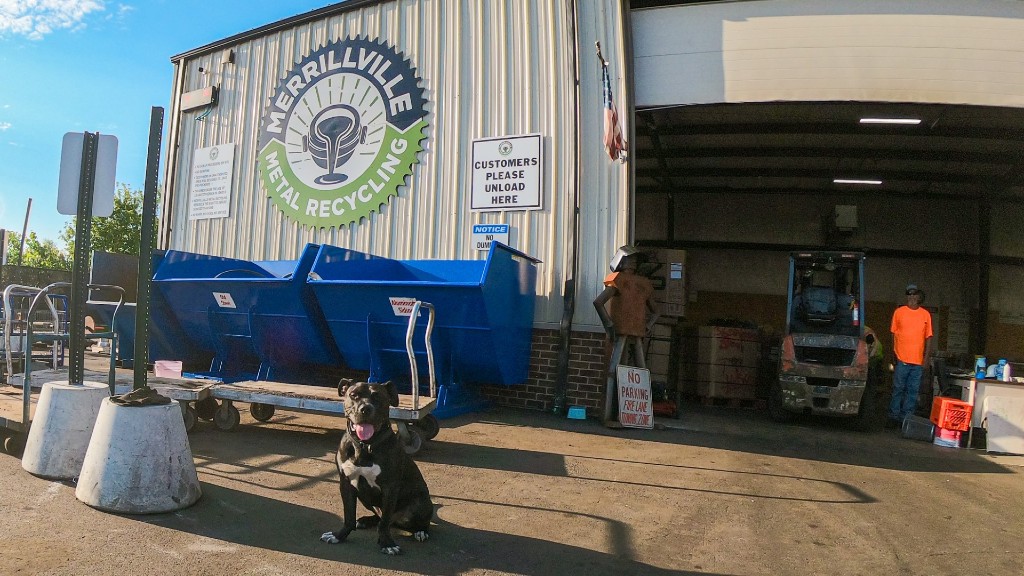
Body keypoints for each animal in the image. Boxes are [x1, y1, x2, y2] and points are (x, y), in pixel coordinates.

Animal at [319, 377, 432, 553]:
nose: (365, 408)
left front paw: (387, 543)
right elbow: (348, 516)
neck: (364, 446)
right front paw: (339, 536)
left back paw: (421, 531)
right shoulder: (346, 484)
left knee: (414, 522)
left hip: (421, 502)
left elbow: (384, 522)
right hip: (364, 497)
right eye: (354, 395)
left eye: (378, 397)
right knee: (379, 517)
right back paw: (366, 520)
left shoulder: (390, 488)